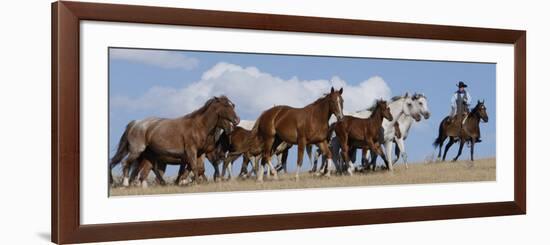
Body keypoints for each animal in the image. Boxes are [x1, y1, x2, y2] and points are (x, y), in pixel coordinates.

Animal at [109, 95, 239, 186]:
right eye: (226, 106)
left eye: (233, 105)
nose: (237, 120)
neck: (198, 126)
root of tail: (136, 123)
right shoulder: (191, 150)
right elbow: (194, 167)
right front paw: (195, 183)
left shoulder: (197, 153)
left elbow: (191, 168)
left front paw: (184, 182)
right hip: (137, 151)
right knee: (125, 163)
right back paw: (125, 183)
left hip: (148, 155)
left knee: (142, 170)